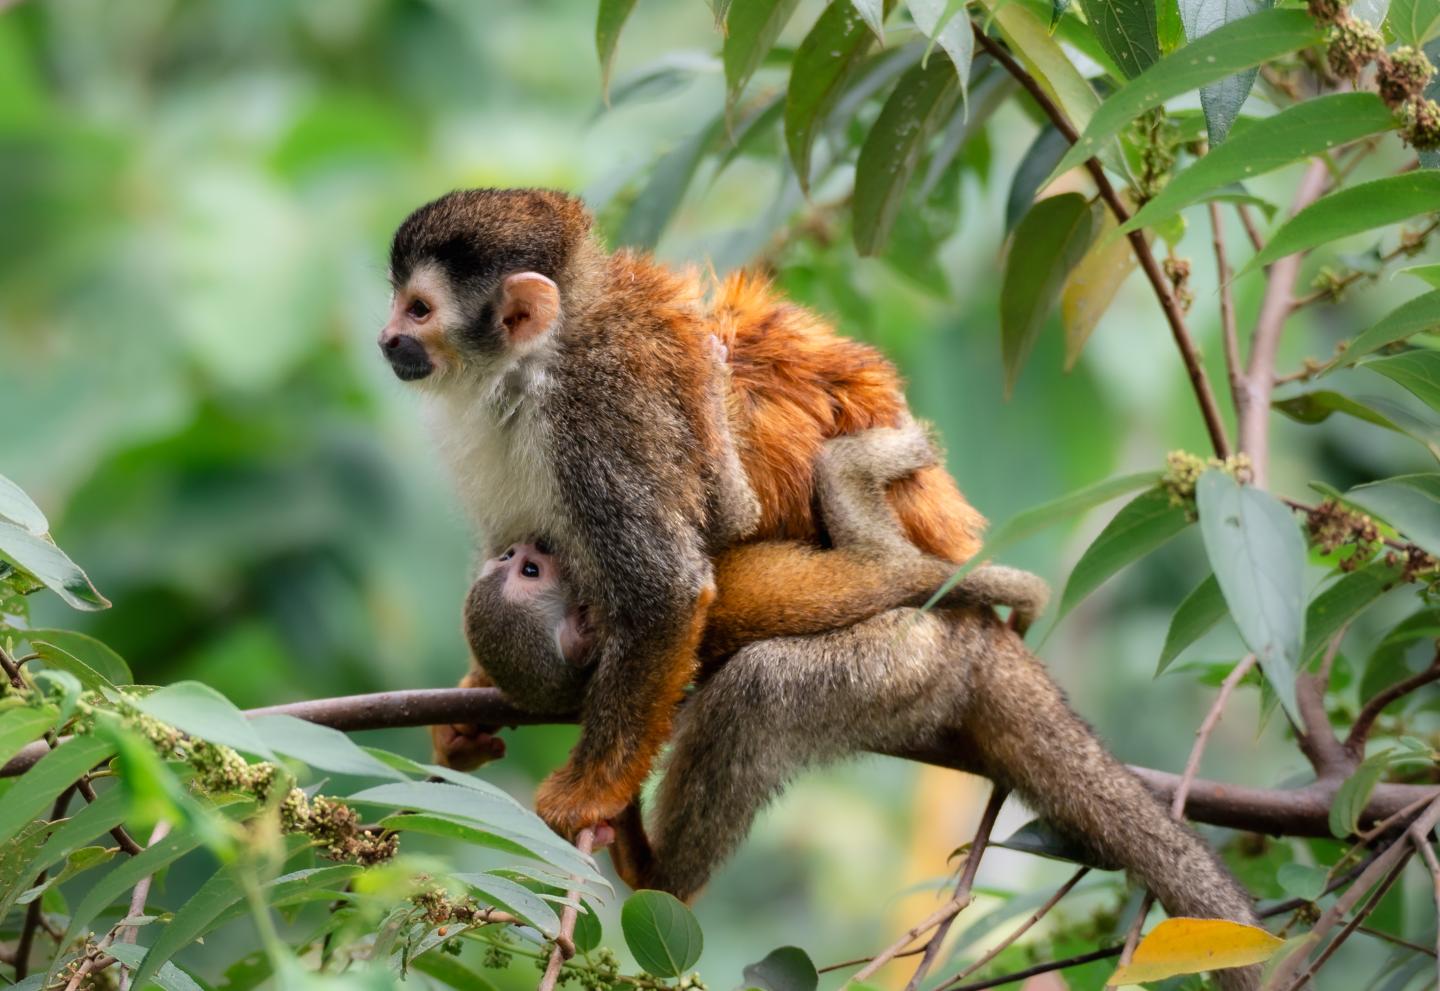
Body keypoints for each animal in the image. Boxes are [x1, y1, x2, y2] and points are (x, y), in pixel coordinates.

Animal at [383, 188, 983, 836]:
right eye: (397, 304)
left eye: (419, 310)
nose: (386, 338)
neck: (534, 366)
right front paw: (475, 701)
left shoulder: (597, 415)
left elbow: (666, 589)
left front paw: (591, 792)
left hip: (907, 656)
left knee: (759, 692)